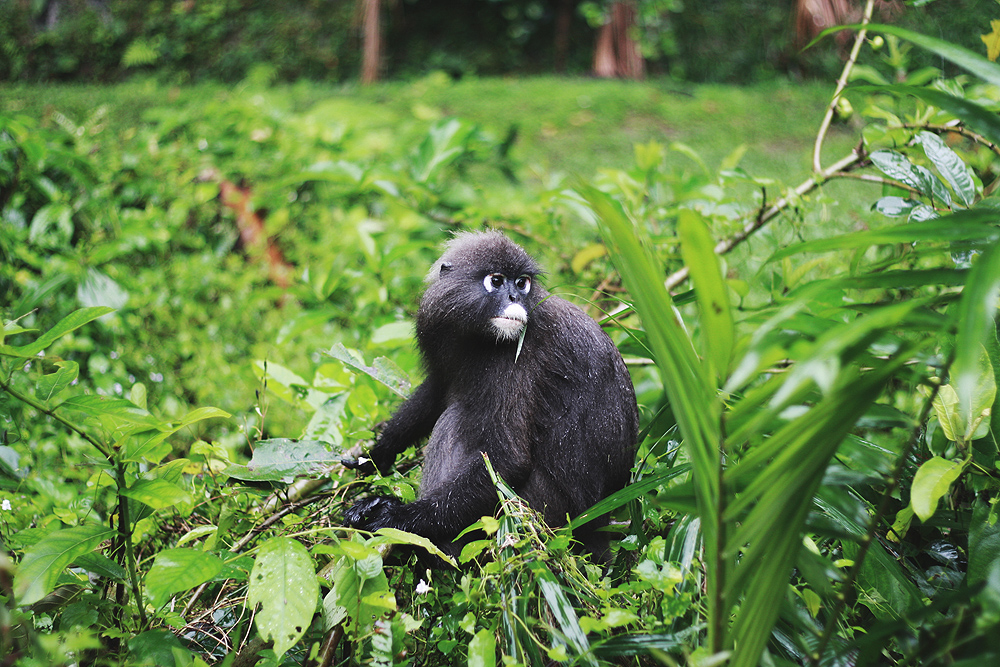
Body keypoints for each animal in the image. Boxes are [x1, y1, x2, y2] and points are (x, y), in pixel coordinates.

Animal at [343, 231, 638, 560]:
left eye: (521, 283)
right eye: (496, 281)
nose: (515, 298)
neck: (478, 336)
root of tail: (598, 528)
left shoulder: (518, 354)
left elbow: (508, 458)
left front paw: (396, 516)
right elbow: (437, 391)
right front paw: (377, 455)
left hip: (542, 514)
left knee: (455, 419)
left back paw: (441, 552)